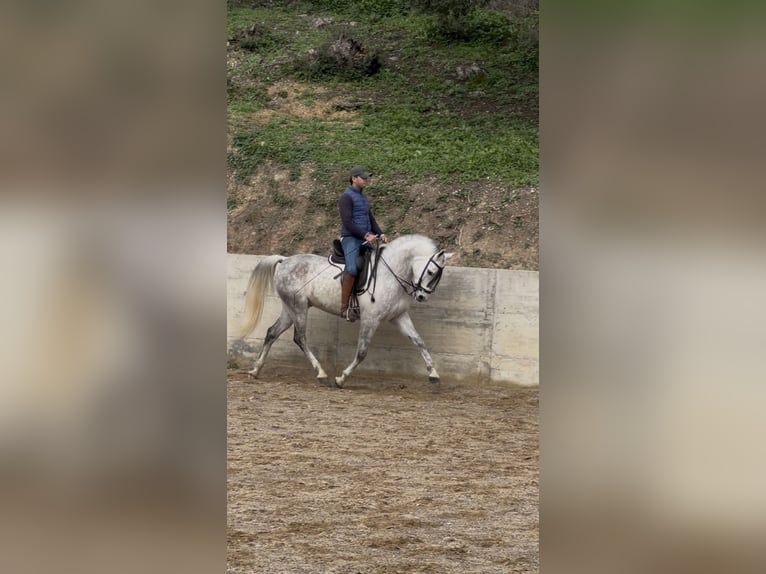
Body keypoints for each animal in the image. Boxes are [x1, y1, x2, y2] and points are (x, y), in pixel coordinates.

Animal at [238, 234, 453, 388]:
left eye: (438, 276)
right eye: (431, 272)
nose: (422, 297)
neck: (391, 273)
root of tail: (284, 260)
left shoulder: (398, 316)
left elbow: (419, 341)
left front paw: (434, 374)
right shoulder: (370, 318)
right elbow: (362, 352)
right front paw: (341, 379)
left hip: (290, 309)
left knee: (272, 332)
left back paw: (255, 370)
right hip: (298, 307)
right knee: (299, 338)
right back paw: (321, 374)